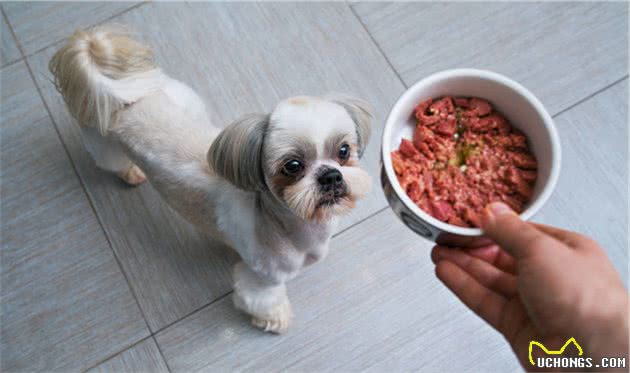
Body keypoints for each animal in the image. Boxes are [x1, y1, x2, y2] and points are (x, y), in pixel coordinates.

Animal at [50, 27, 376, 332]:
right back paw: (130, 173)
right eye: (293, 166)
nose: (330, 176)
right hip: (103, 142)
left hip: (184, 98)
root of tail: (118, 93)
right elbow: (264, 300)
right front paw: (276, 320)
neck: (287, 224)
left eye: (344, 150)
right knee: (111, 162)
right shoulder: (261, 278)